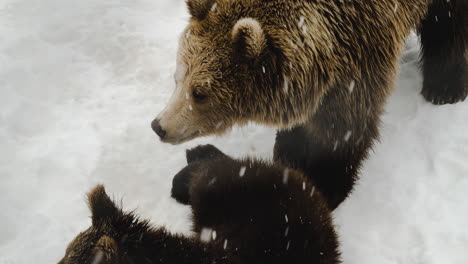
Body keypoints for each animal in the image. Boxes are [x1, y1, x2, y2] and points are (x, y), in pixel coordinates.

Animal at [153, 0, 464, 210]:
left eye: (200, 93)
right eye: (178, 77)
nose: (159, 126)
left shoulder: (359, 61)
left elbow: (340, 132)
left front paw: (321, 183)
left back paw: (445, 87)